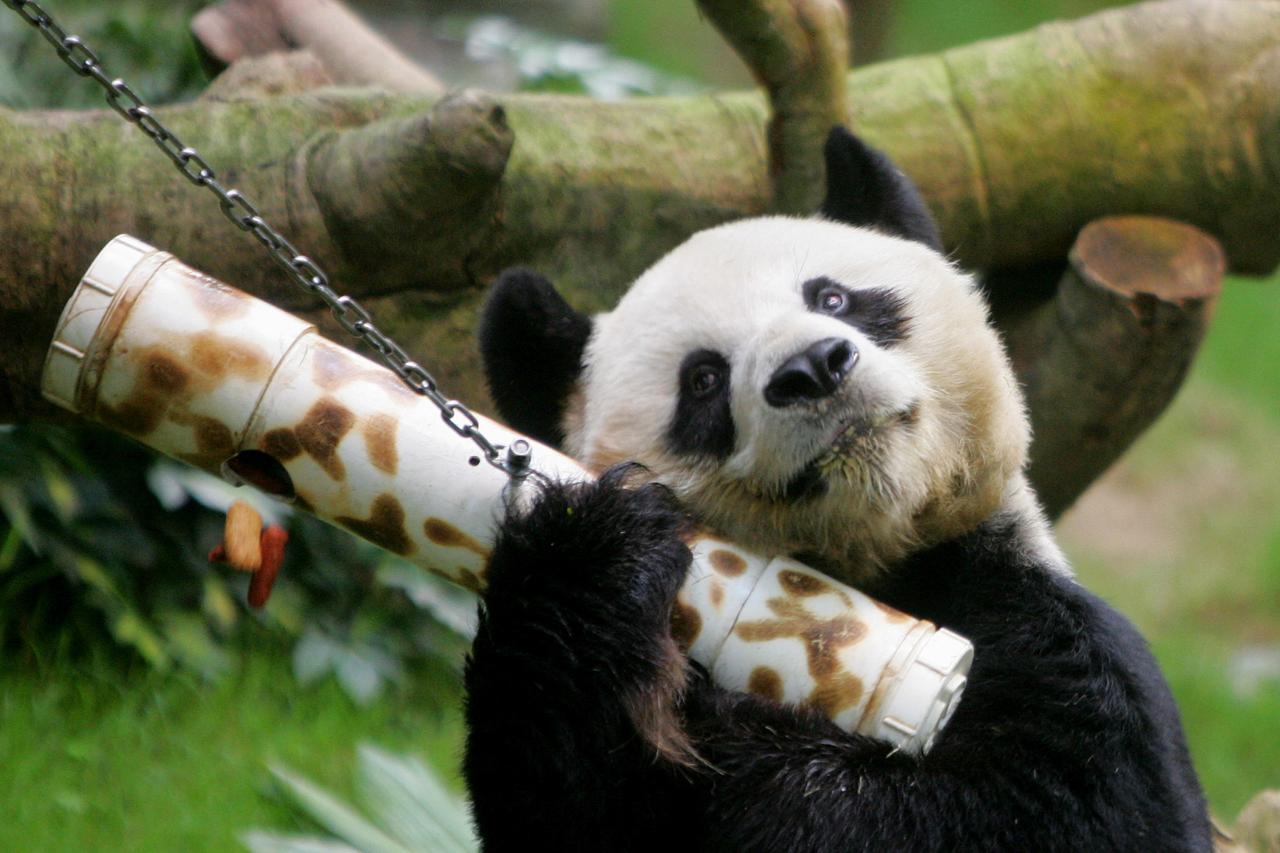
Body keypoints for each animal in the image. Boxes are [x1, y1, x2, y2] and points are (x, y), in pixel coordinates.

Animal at [462, 127, 1212, 851]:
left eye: (833, 297)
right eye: (702, 379)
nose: (813, 367)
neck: (876, 564)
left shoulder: (1042, 631)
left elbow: (1067, 807)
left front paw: (745, 742)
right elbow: (570, 795)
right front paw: (594, 556)